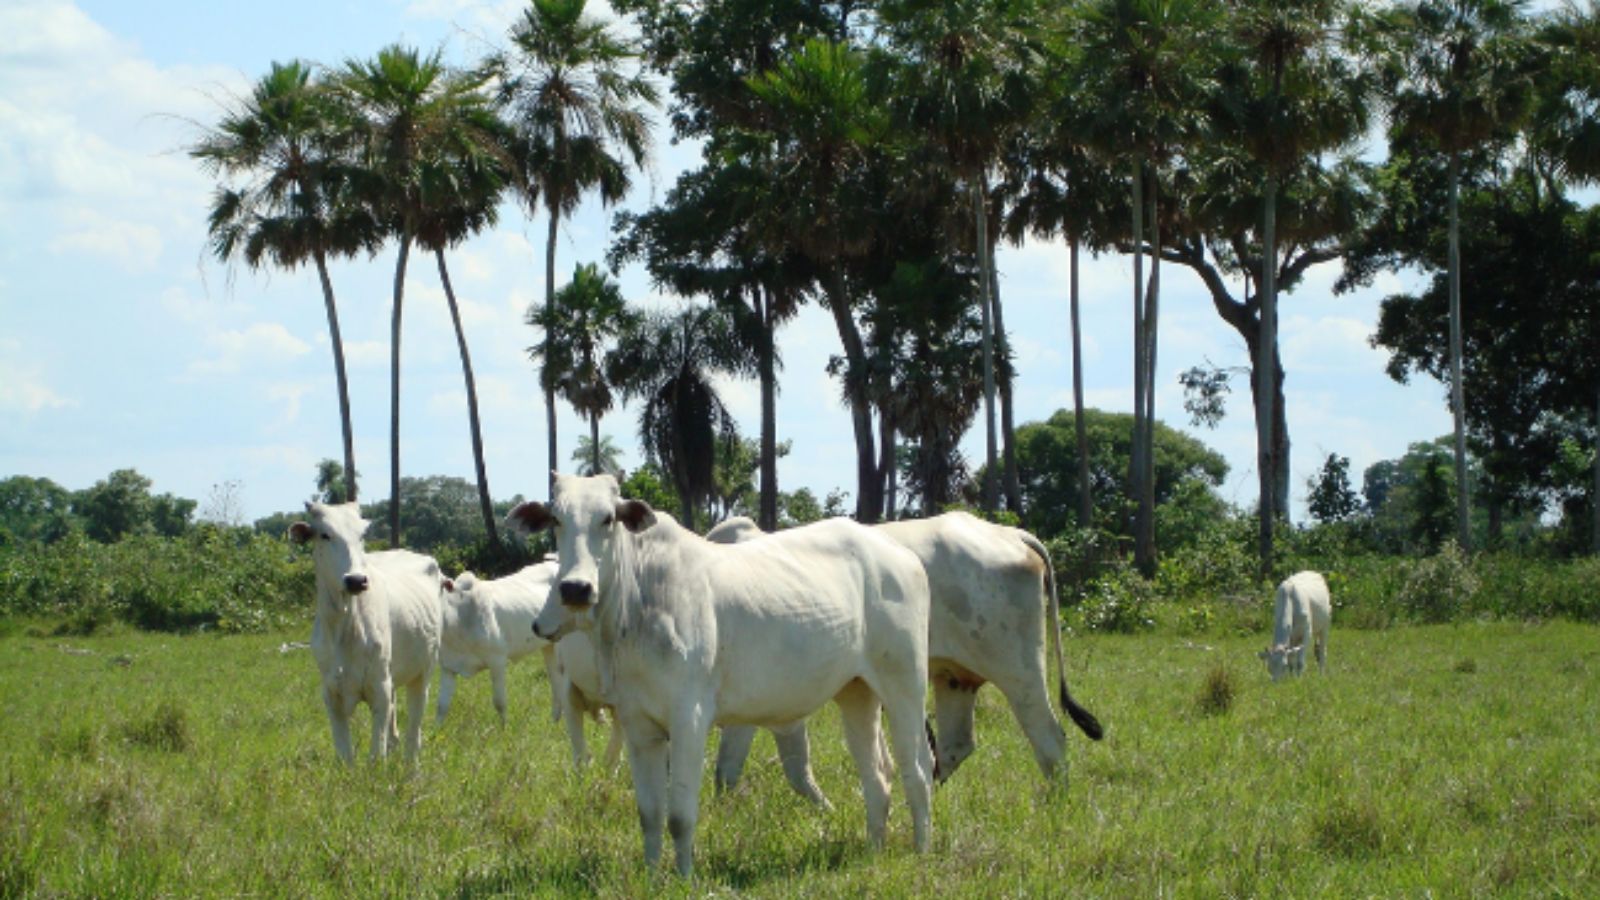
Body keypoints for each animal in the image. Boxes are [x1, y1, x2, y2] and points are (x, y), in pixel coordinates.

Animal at [289, 499, 441, 759]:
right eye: (325, 535)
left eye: (361, 535)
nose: (356, 580)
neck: (343, 625)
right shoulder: (331, 694)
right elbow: (345, 757)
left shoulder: (379, 689)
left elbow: (376, 755)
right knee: (395, 734)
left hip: (423, 674)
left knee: (413, 735)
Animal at [512, 474, 934, 871]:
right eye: (556, 519)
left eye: (608, 518)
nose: (576, 589)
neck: (636, 605)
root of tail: (901, 555)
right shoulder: (637, 724)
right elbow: (650, 815)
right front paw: (652, 875)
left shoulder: (689, 719)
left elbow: (680, 816)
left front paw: (684, 878)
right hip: (857, 692)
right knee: (876, 776)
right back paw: (874, 850)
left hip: (905, 685)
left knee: (918, 768)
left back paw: (921, 851)